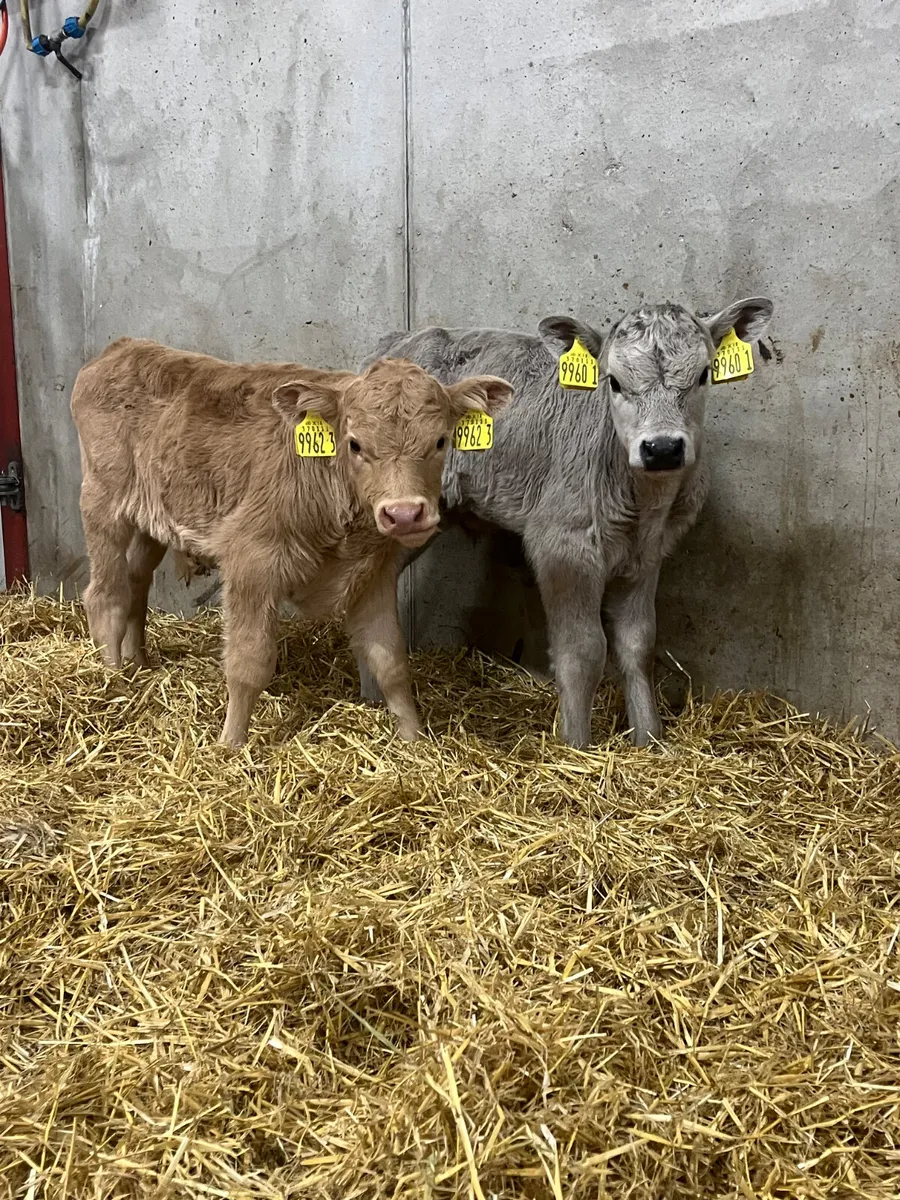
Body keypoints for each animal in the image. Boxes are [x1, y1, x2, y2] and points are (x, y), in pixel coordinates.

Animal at [70, 338, 512, 746]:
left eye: (440, 441)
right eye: (355, 444)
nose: (404, 513)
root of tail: (124, 347)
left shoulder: (374, 572)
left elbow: (390, 660)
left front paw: (414, 740)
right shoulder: (251, 559)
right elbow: (248, 662)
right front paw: (230, 746)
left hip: (149, 519)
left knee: (135, 583)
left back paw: (139, 664)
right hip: (102, 500)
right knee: (105, 595)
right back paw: (113, 681)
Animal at [356, 297, 774, 748]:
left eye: (703, 375)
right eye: (614, 382)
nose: (662, 448)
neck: (644, 506)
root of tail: (397, 342)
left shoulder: (647, 556)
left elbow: (639, 643)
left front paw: (649, 739)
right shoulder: (562, 545)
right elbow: (583, 650)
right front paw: (576, 744)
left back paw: (372, 702)